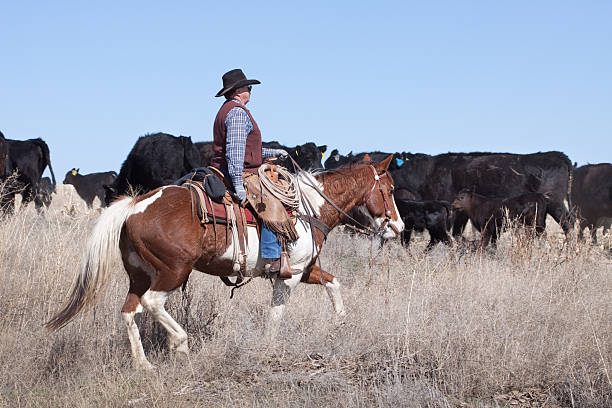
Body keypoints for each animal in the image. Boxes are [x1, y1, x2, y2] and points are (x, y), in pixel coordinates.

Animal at [46, 154, 402, 370]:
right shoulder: (289, 276)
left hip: (139, 274)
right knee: (152, 302)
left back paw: (143, 364)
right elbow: (276, 315)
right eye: (389, 189)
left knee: (129, 311)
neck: (307, 209)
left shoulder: (307, 269)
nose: (397, 227)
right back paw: (180, 343)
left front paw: (339, 321)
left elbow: (334, 283)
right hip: (173, 271)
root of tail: (135, 204)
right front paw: (268, 347)